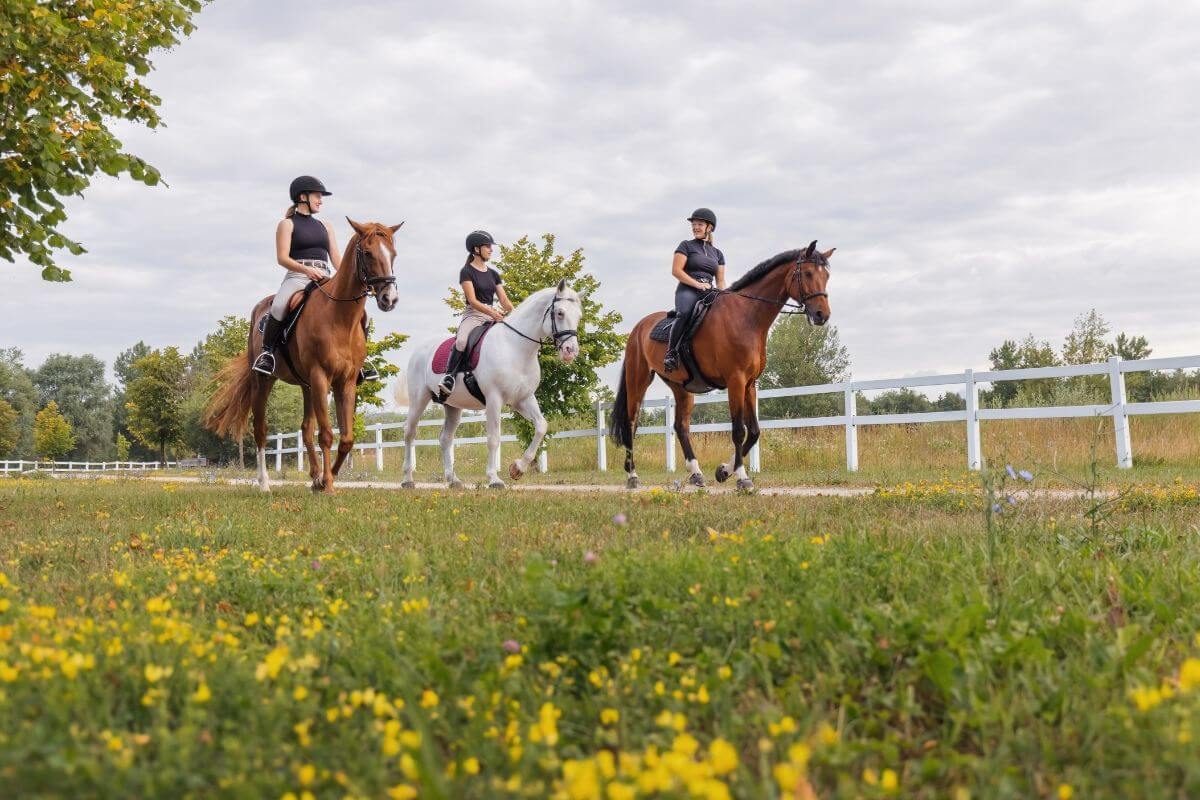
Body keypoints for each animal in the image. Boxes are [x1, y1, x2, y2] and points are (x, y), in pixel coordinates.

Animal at [206, 220, 403, 494]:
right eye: (367, 253)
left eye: (393, 254)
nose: (389, 299)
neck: (339, 317)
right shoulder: (321, 376)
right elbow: (327, 434)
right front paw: (328, 484)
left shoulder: (345, 382)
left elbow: (346, 438)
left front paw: (325, 479)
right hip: (264, 382)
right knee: (261, 431)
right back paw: (265, 484)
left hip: (307, 385)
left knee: (306, 429)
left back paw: (314, 477)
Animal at [400, 281, 583, 494]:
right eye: (560, 313)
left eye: (579, 316)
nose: (571, 351)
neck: (515, 347)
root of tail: (419, 350)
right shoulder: (494, 399)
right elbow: (494, 438)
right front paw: (494, 479)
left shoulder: (524, 399)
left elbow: (541, 427)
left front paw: (517, 469)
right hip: (419, 399)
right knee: (409, 432)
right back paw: (408, 479)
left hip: (453, 406)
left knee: (445, 438)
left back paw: (453, 480)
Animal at [609, 241, 835, 491]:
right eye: (808, 273)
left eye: (826, 276)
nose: (822, 315)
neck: (747, 316)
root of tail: (639, 328)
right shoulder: (735, 381)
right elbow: (738, 431)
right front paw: (742, 477)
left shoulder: (749, 384)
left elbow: (754, 431)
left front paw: (724, 471)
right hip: (638, 380)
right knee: (631, 424)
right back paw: (632, 476)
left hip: (681, 387)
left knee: (681, 427)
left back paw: (696, 473)